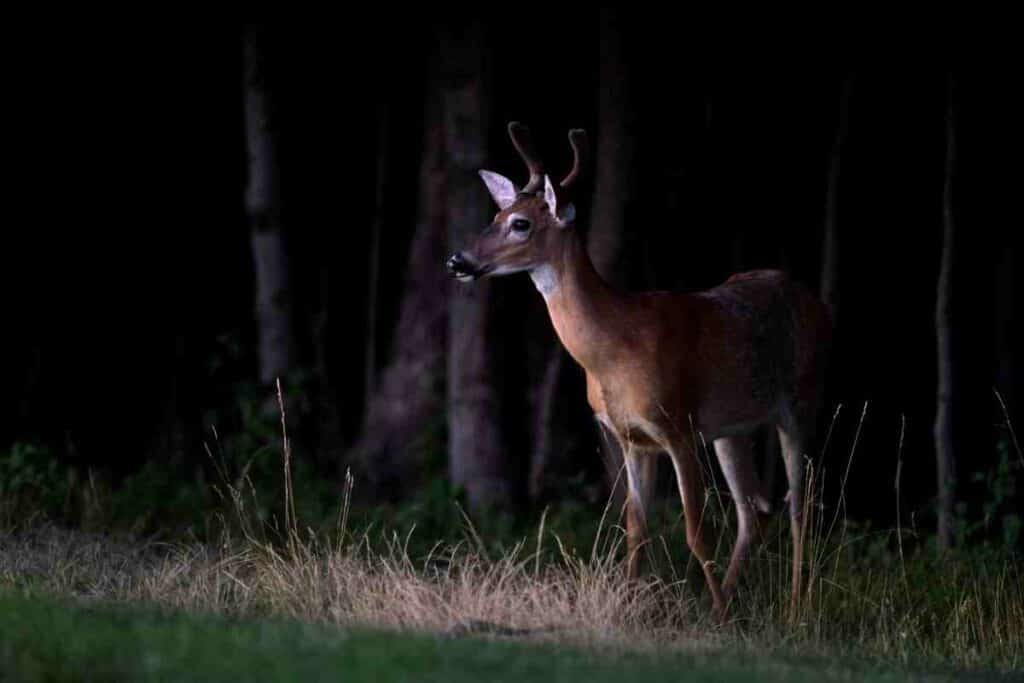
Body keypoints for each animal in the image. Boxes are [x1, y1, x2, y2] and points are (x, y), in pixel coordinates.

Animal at [446, 122, 831, 618]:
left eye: (521, 224)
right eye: (496, 215)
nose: (457, 261)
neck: (613, 351)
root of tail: (815, 302)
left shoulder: (678, 426)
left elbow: (695, 531)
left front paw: (711, 614)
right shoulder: (631, 438)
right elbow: (636, 528)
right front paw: (632, 607)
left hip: (801, 398)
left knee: (800, 504)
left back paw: (795, 607)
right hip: (732, 427)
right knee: (755, 511)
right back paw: (727, 603)